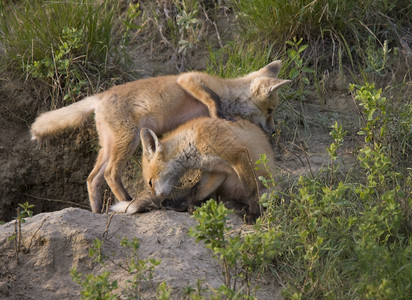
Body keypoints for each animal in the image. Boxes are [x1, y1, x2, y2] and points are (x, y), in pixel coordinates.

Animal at [111, 117, 276, 223]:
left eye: (150, 183)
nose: (155, 197)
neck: (193, 143)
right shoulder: (217, 171)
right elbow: (197, 191)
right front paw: (181, 204)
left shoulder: (238, 155)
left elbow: (251, 191)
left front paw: (254, 215)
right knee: (206, 197)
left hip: (267, 190)